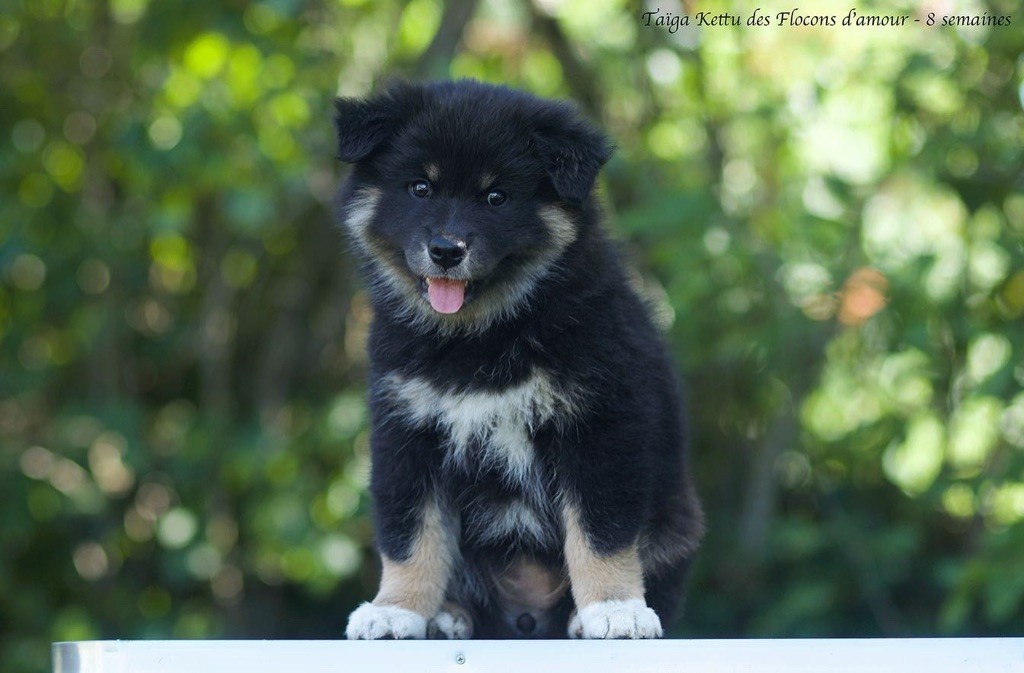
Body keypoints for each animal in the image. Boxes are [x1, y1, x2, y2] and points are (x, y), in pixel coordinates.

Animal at [335, 81, 704, 639]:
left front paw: (614, 607)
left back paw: (577, 618)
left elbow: (601, 532)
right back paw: (448, 615)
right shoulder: (407, 431)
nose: (446, 250)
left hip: (675, 520)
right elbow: (411, 535)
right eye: (420, 188)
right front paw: (395, 608)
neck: (482, 336)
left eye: (496, 197)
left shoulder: (602, 423)